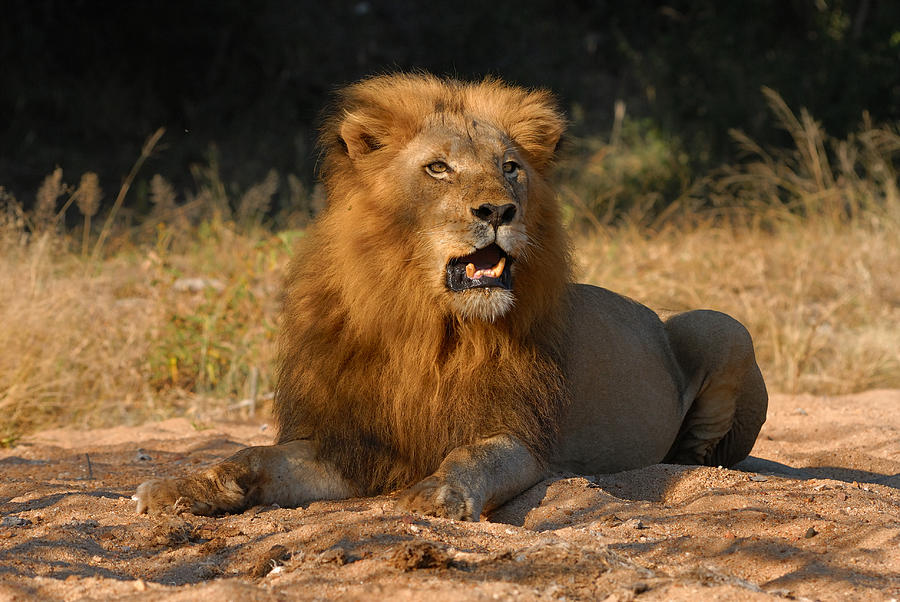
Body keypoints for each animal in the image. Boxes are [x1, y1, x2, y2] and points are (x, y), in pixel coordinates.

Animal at [134, 72, 768, 516]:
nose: (498, 211)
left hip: (719, 324)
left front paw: (435, 492)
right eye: (438, 168)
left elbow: (473, 454)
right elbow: (251, 458)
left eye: (510, 167)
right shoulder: (355, 443)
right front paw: (177, 487)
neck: (424, 319)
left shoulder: (519, 437)